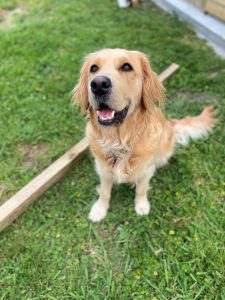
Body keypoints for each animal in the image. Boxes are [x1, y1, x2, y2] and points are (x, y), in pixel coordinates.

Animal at [73, 48, 214, 223]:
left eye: (127, 67)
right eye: (93, 68)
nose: (98, 84)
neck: (119, 141)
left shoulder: (145, 171)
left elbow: (141, 188)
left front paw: (141, 206)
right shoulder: (103, 169)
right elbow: (105, 191)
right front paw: (100, 209)